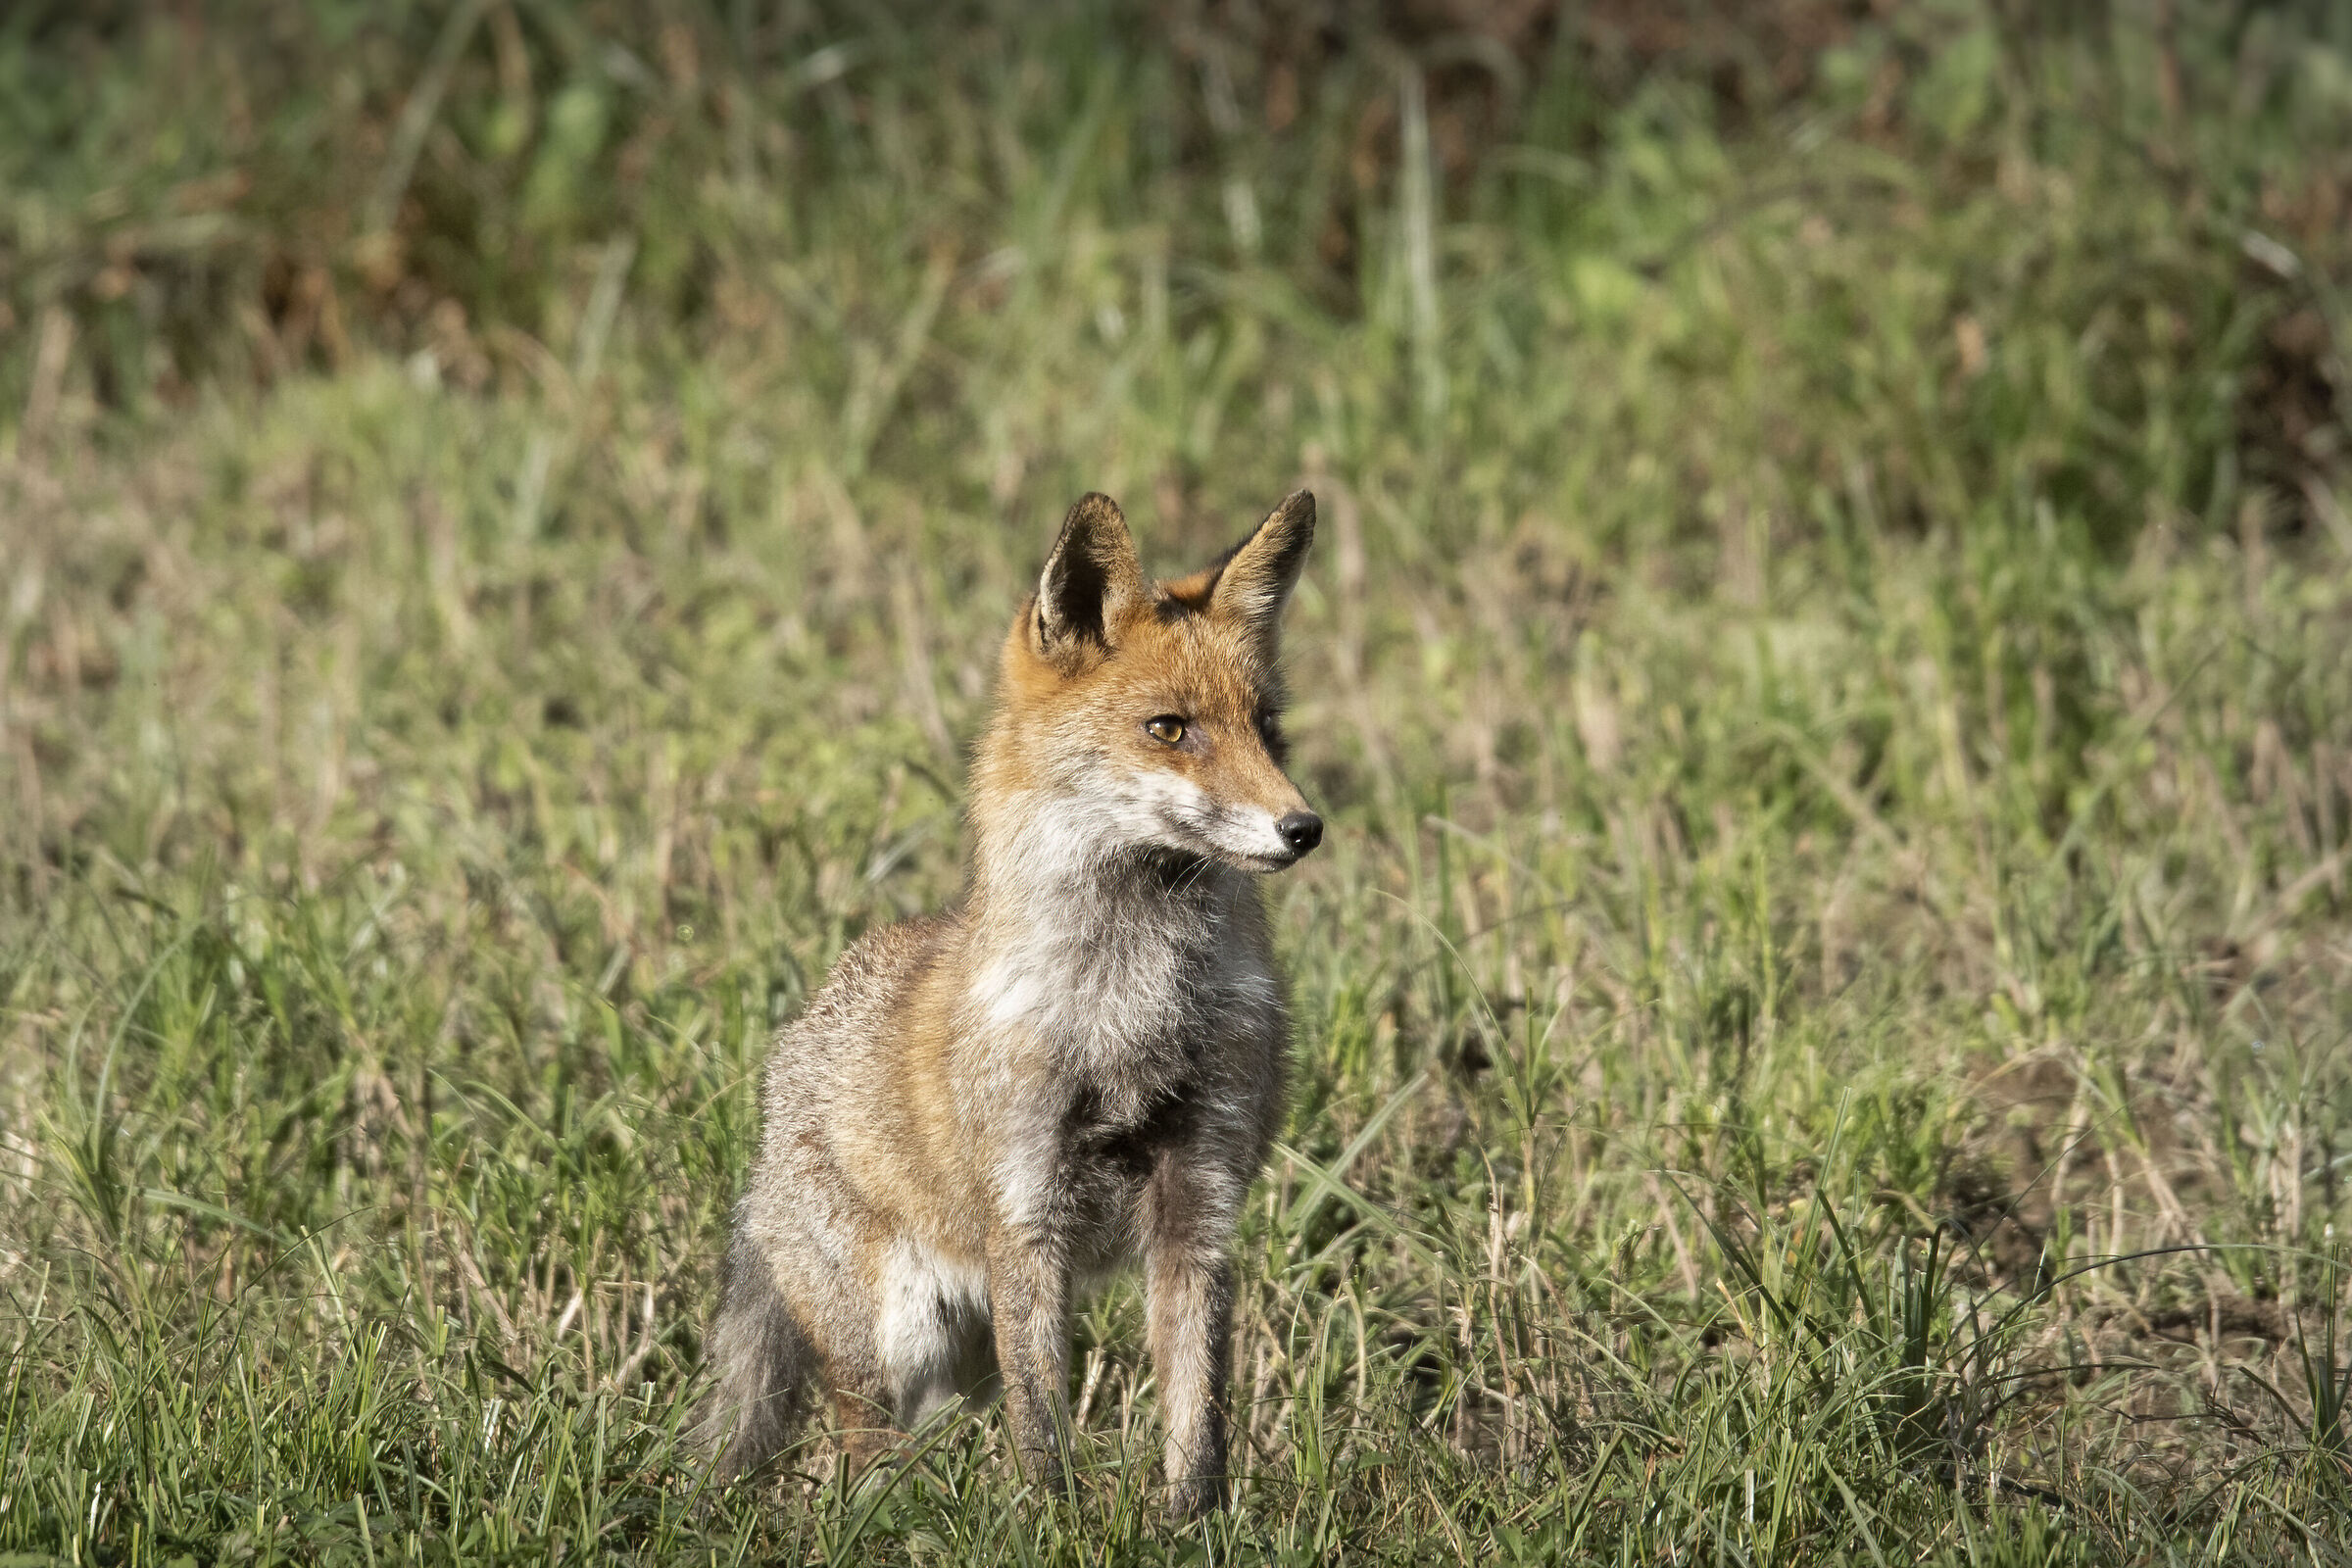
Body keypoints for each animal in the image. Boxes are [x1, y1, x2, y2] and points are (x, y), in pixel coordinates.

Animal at [696, 489, 1322, 1517]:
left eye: (1267, 727)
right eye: (1169, 729)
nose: (1302, 827)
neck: (1130, 1011)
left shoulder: (1201, 1202)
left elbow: (1198, 1424)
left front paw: (1193, 1528)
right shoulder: (1026, 1208)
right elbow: (1043, 1430)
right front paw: (1056, 1528)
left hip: (960, 1365)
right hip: (898, 1334)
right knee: (858, 1455)